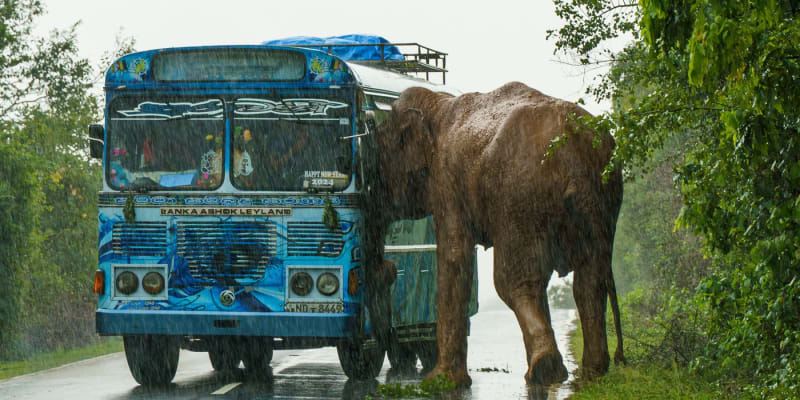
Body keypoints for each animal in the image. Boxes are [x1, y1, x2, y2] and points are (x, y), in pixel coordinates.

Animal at [368, 82, 624, 388]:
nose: (387, 268)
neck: (438, 102)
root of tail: (575, 146)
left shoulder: (446, 182)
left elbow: (454, 257)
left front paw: (440, 382)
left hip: (518, 196)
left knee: (513, 280)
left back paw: (545, 370)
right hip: (604, 197)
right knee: (589, 279)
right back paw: (591, 373)